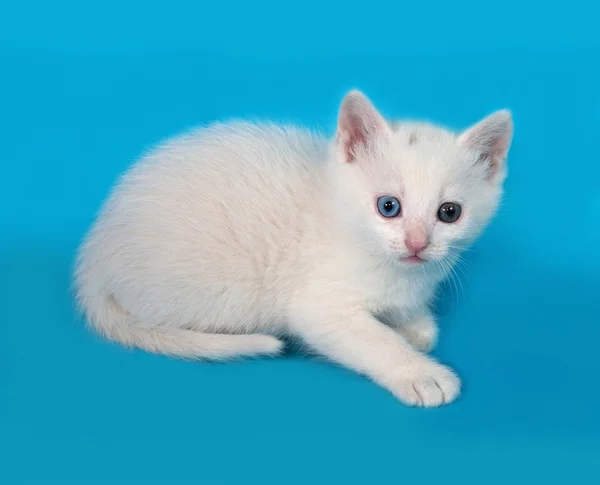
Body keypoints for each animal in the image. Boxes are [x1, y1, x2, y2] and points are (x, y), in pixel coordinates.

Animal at [71, 90, 510, 404]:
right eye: (389, 206)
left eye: (449, 213)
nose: (417, 243)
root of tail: (94, 253)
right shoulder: (318, 308)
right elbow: (374, 340)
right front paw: (421, 373)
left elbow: (420, 325)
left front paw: (413, 325)